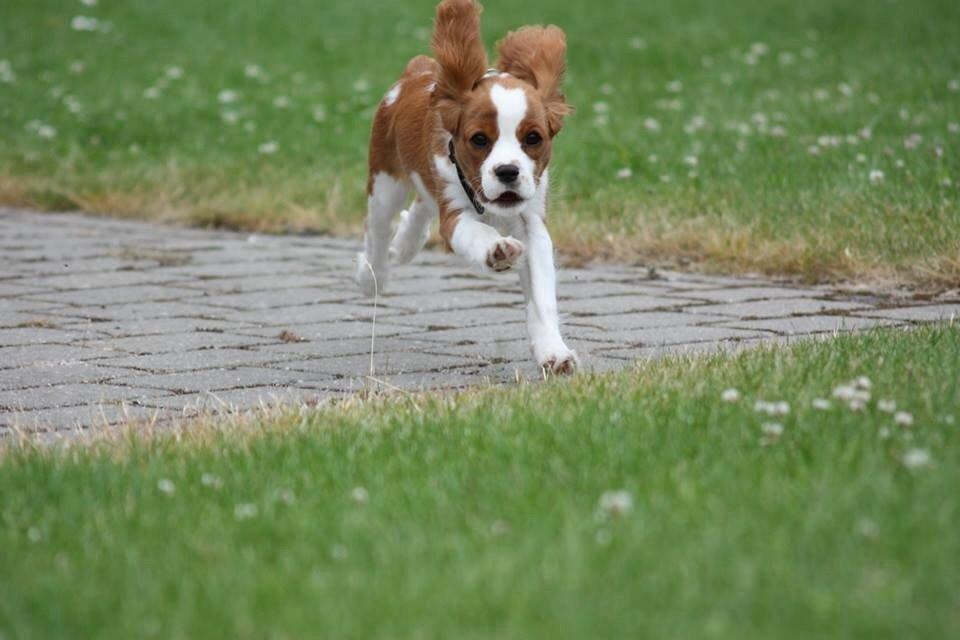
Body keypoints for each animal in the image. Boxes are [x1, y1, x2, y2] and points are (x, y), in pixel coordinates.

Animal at [354, 0, 572, 376]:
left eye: (533, 138)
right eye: (479, 139)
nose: (508, 171)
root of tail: (417, 70)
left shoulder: (532, 222)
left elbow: (542, 294)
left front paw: (553, 352)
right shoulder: (454, 211)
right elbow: (473, 231)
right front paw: (498, 250)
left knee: (419, 209)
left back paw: (407, 241)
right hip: (384, 181)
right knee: (378, 232)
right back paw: (374, 276)